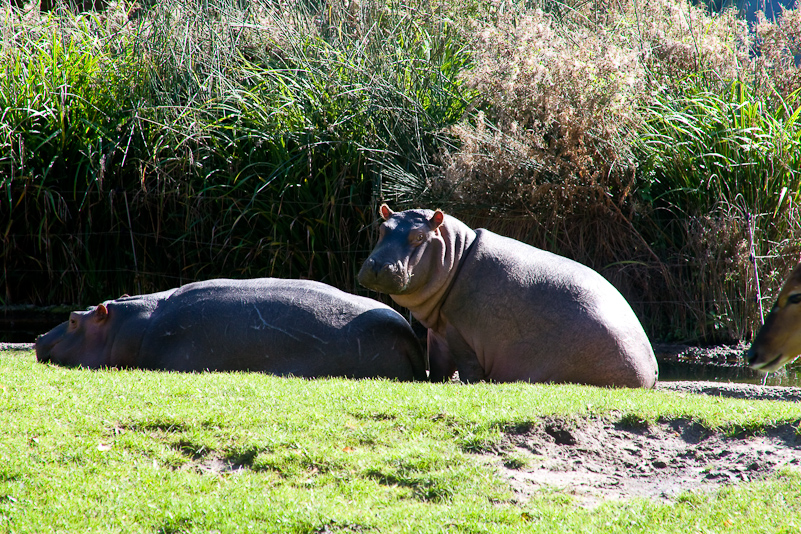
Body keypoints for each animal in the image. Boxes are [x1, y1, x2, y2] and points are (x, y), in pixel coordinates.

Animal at [356, 206, 656, 390]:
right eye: (382, 228)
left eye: (419, 236)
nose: (377, 265)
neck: (455, 252)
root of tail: (652, 369)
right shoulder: (438, 332)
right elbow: (438, 367)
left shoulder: (460, 333)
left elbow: (468, 368)